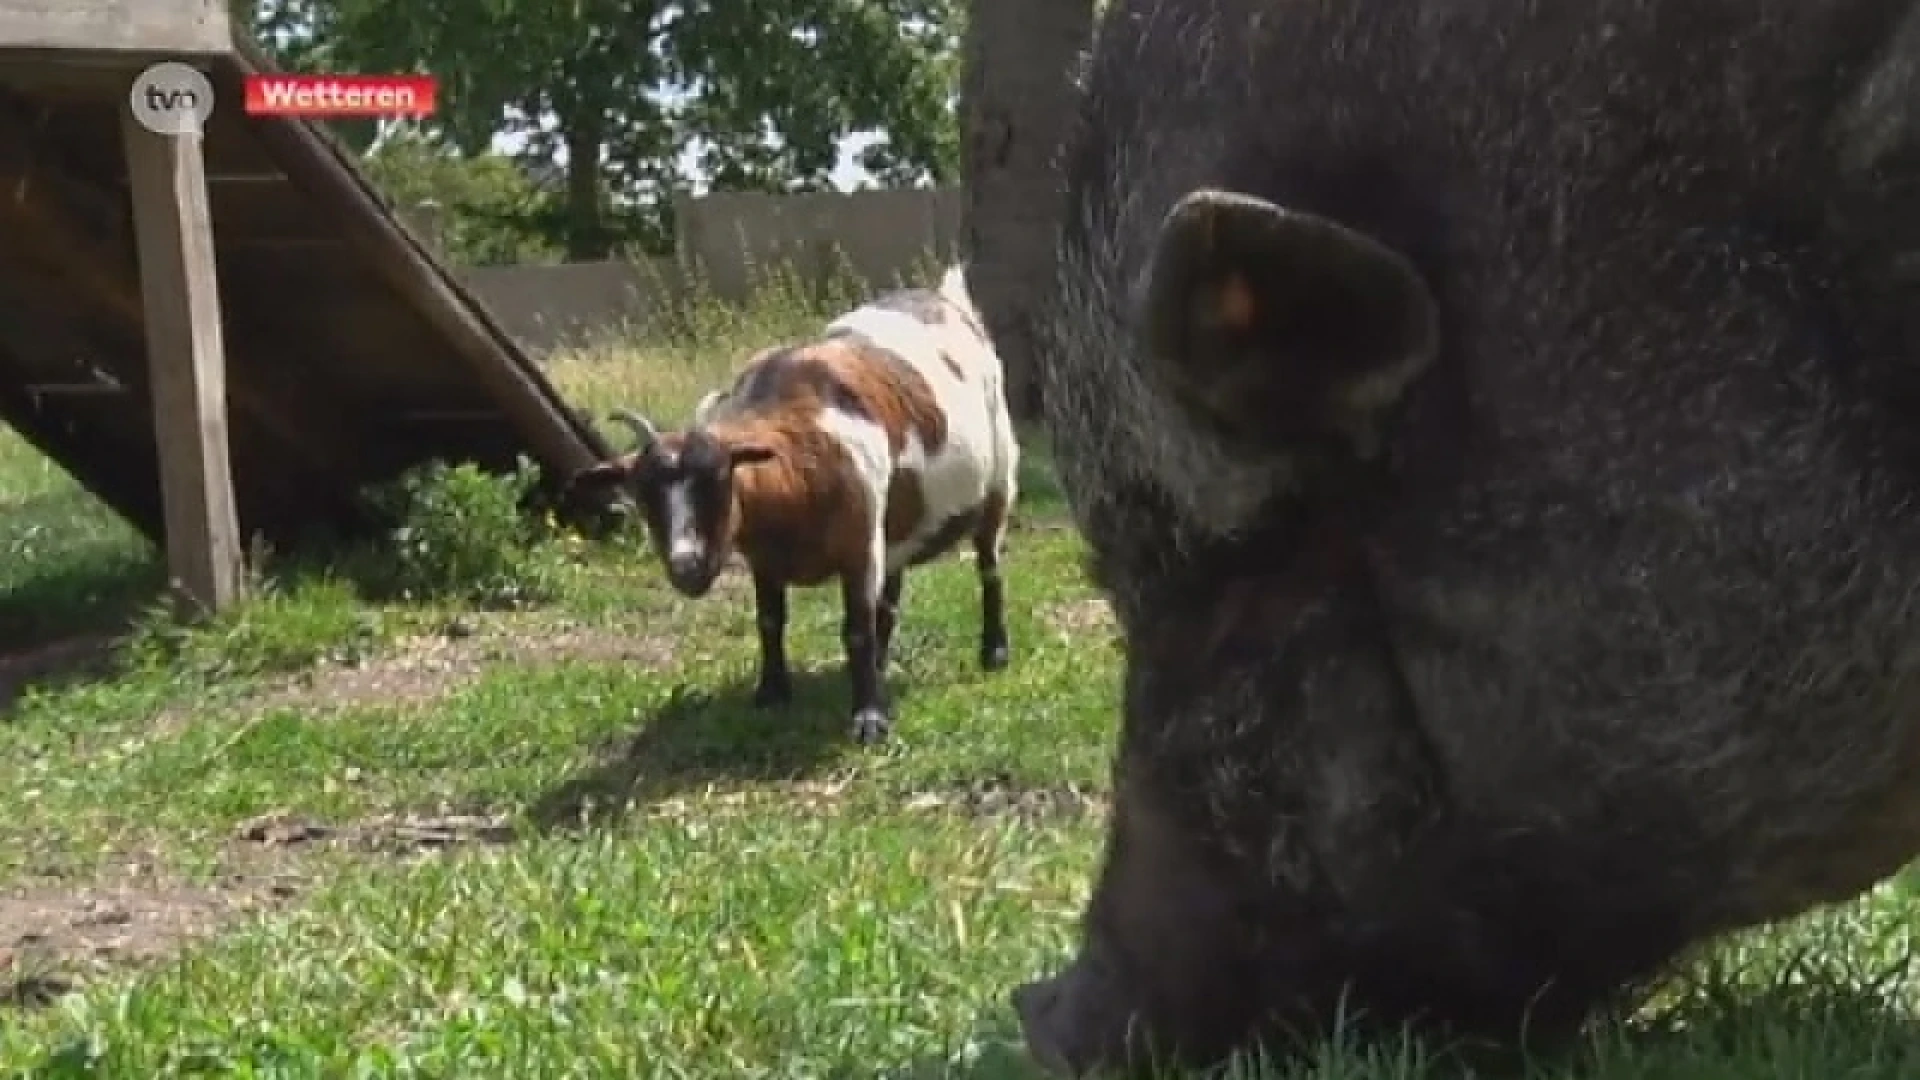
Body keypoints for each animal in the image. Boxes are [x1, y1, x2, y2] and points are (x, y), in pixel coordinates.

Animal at [568, 265, 1021, 745]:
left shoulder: (859, 546)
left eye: (720, 479)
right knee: (893, 591)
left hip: (998, 483)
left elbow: (856, 630)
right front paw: (771, 692)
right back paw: (883, 663)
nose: (686, 565)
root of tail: (947, 299)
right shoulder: (765, 559)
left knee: (989, 567)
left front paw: (869, 719)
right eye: (642, 493)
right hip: (894, 523)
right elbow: (770, 620)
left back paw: (993, 651)